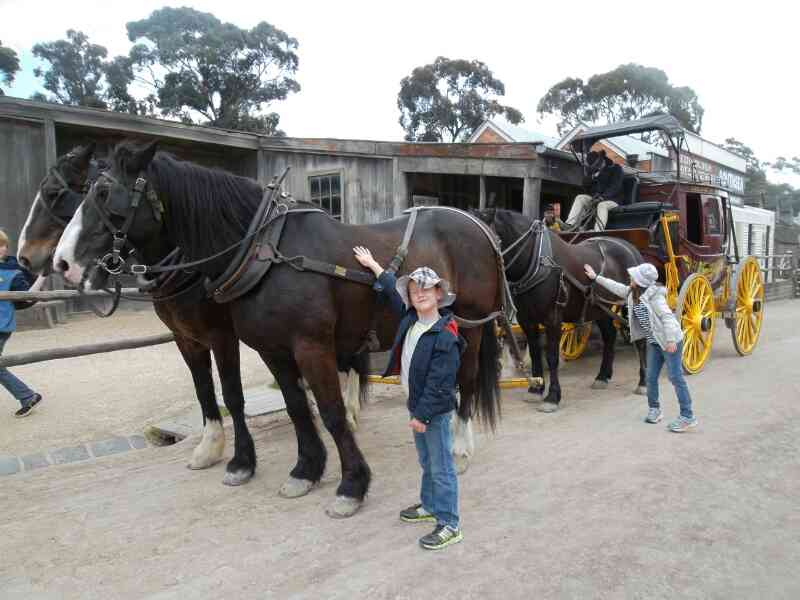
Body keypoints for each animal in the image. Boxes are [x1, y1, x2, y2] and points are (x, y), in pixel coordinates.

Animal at [52, 140, 503, 518]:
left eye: (103, 193)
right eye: (80, 192)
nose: (62, 262)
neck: (265, 254)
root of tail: (475, 223)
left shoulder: (309, 346)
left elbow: (331, 412)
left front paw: (351, 486)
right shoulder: (272, 349)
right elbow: (296, 407)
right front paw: (305, 470)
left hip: (470, 324)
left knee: (465, 379)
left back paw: (459, 448)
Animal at [475, 208, 647, 411]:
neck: (536, 262)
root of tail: (630, 248)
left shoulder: (553, 319)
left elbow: (552, 357)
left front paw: (552, 396)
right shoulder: (527, 320)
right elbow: (534, 353)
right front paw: (535, 390)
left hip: (631, 304)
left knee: (640, 339)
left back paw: (643, 382)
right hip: (599, 307)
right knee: (609, 335)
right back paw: (602, 376)